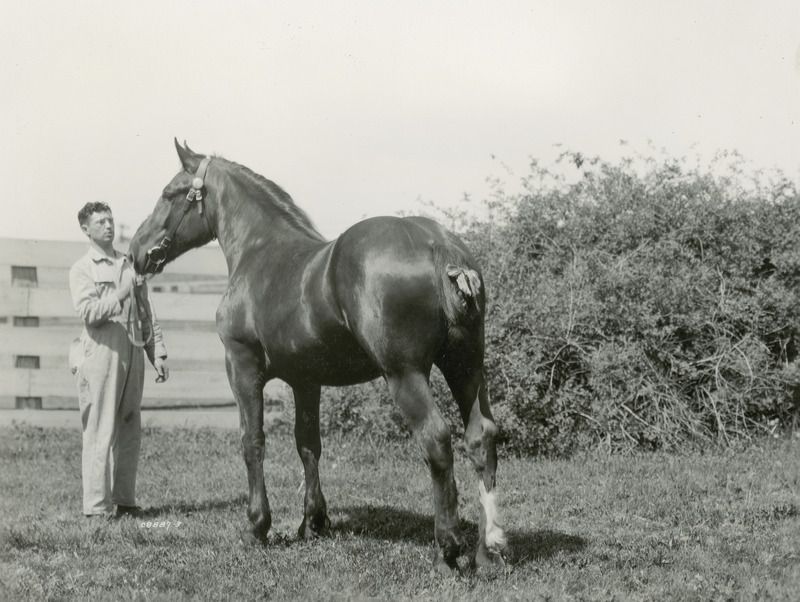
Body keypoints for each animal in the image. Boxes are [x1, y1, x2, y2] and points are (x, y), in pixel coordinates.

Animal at [130, 141, 506, 572]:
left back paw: (447, 550)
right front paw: (313, 522)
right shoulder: (306, 380)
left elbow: (252, 441)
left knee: (436, 440)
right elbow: (308, 444)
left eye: (169, 194)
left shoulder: (241, 367)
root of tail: (438, 245)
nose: (135, 251)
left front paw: (257, 527)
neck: (260, 251)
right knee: (481, 437)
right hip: (466, 367)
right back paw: (489, 547)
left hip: (406, 374)